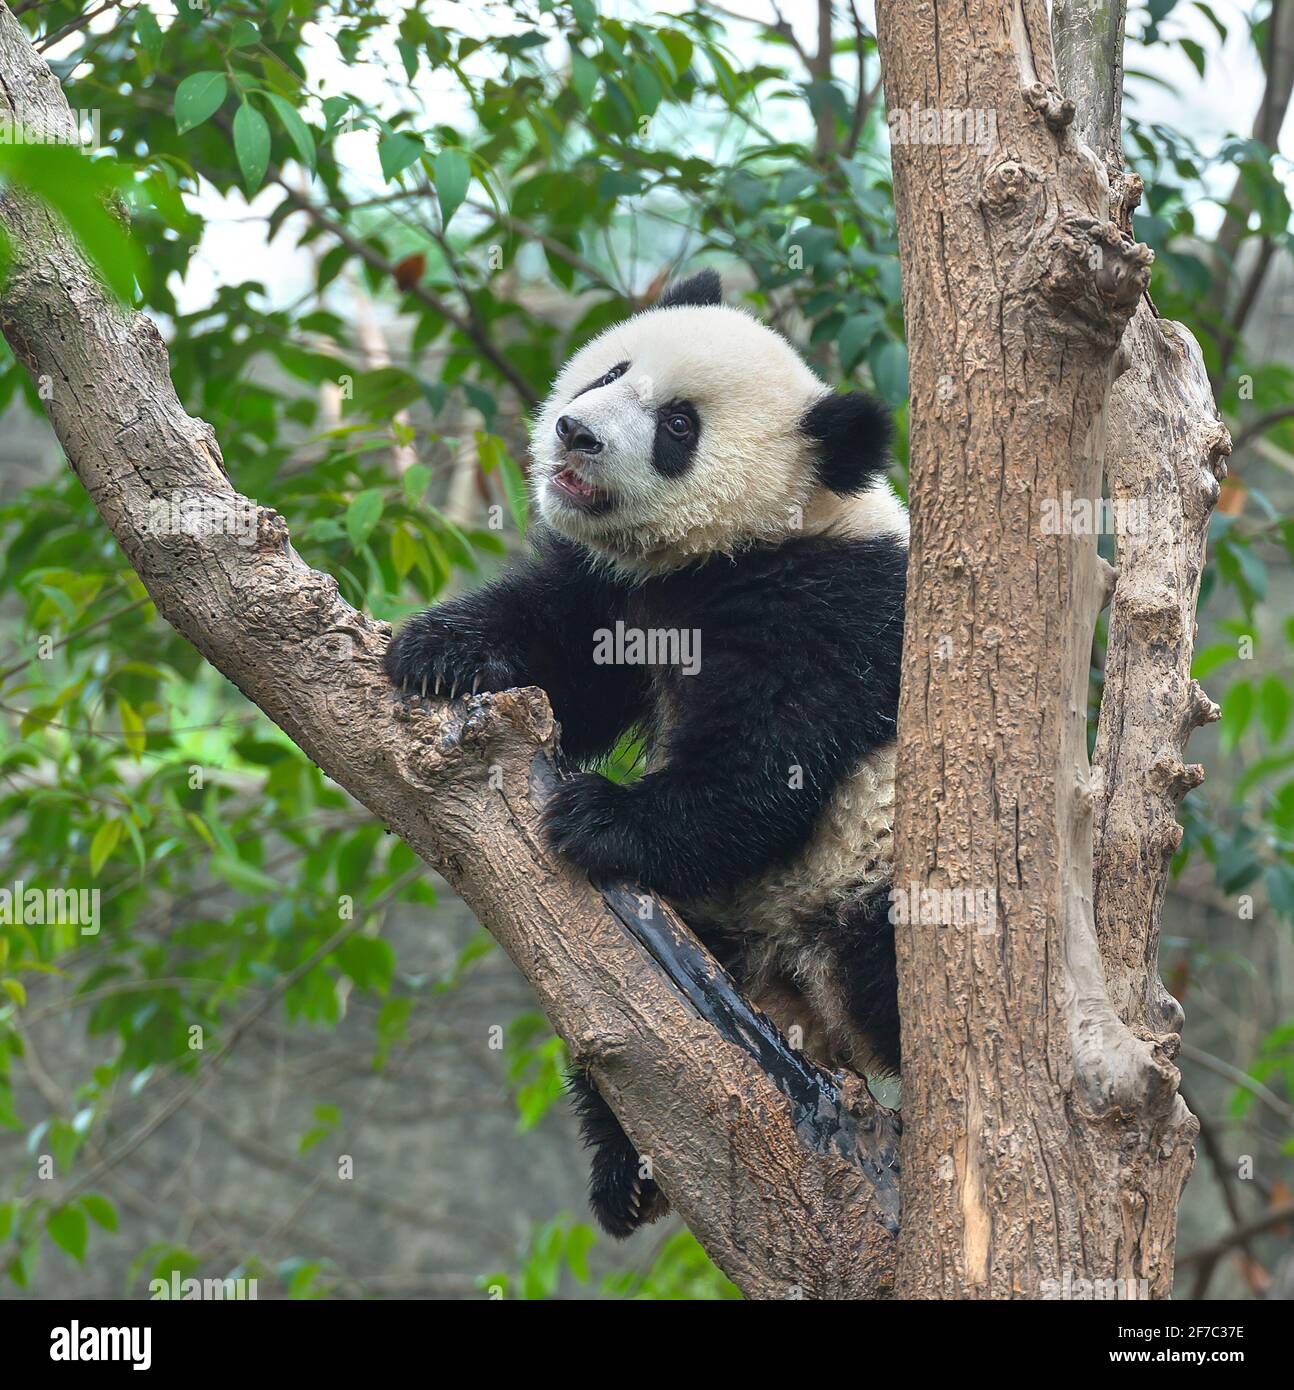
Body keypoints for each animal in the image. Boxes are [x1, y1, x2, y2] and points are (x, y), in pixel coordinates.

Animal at [385, 269, 907, 1237]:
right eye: (611, 371)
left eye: (678, 427)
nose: (575, 432)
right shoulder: (622, 592)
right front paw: (437, 649)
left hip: (866, 879)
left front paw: (602, 817)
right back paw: (626, 1173)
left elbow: (767, 756)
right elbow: (562, 652)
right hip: (721, 930)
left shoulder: (831, 606)